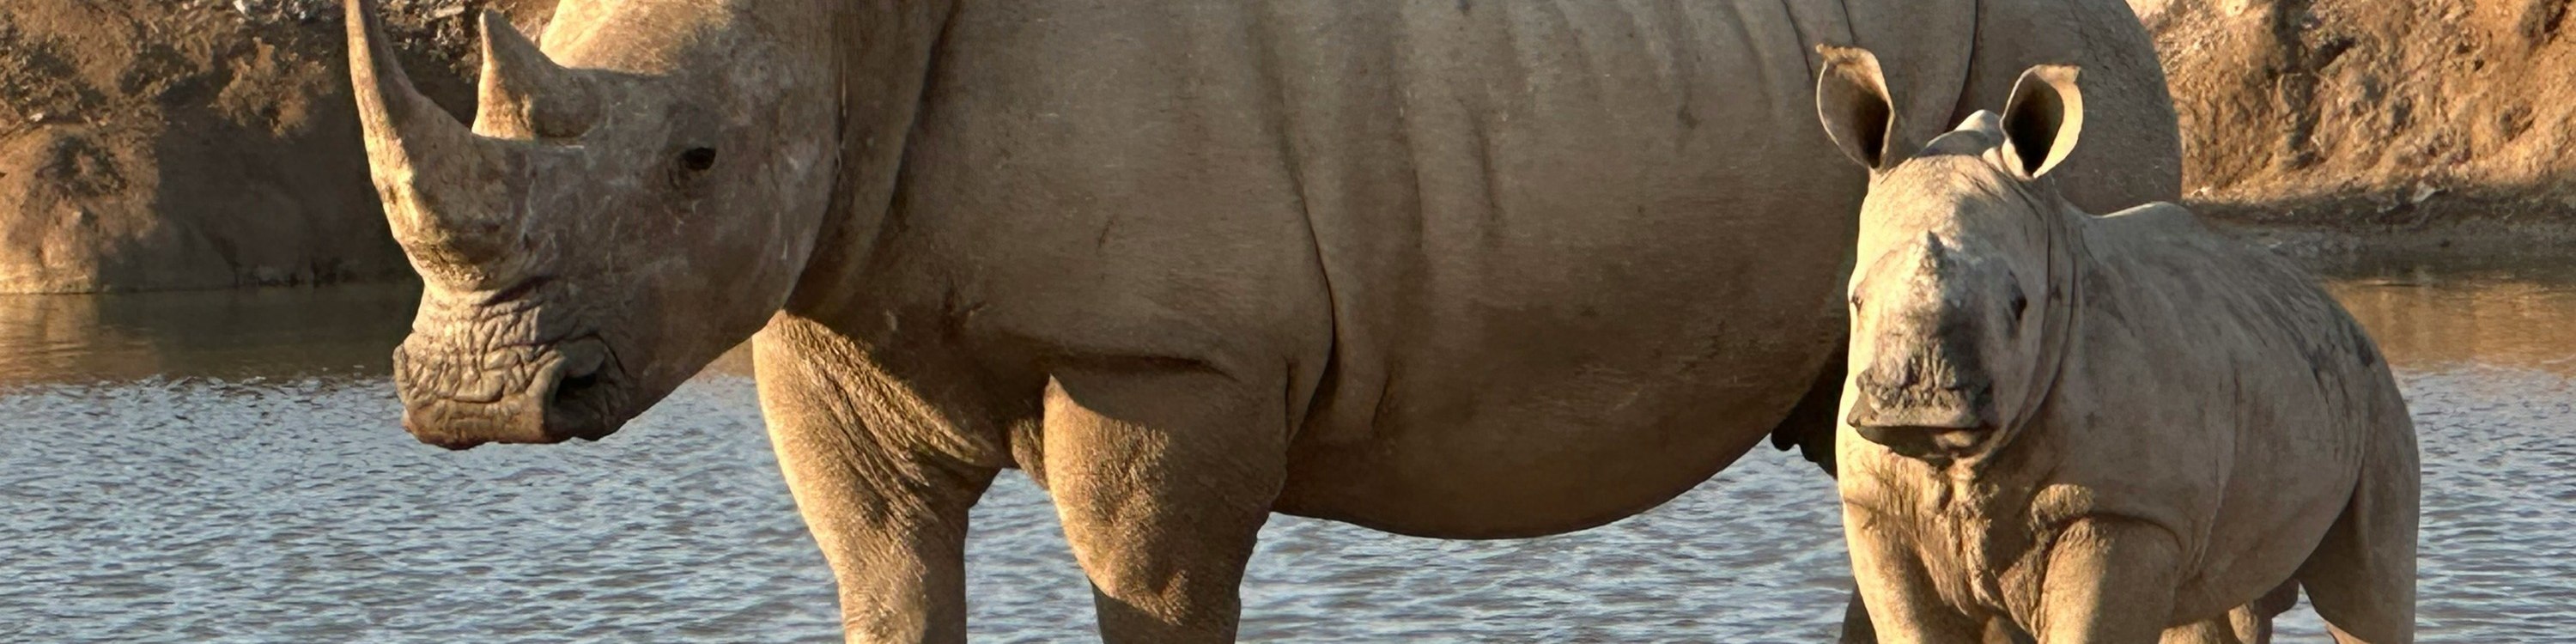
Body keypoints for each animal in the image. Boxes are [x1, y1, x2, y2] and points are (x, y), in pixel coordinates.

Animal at [343, 0, 2190, 640]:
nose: (467, 395)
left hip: (2049, 88)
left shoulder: (1172, 354)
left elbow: (1151, 585)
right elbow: (882, 572)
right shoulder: (826, 311)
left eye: (697, 159)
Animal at [1818, 47, 2420, 644]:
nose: (1920, 401)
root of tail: (2335, 307)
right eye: (1856, 300)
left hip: (2371, 391)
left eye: (2020, 305)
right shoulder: (1876, 509)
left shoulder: (2123, 510)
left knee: (2366, 597)